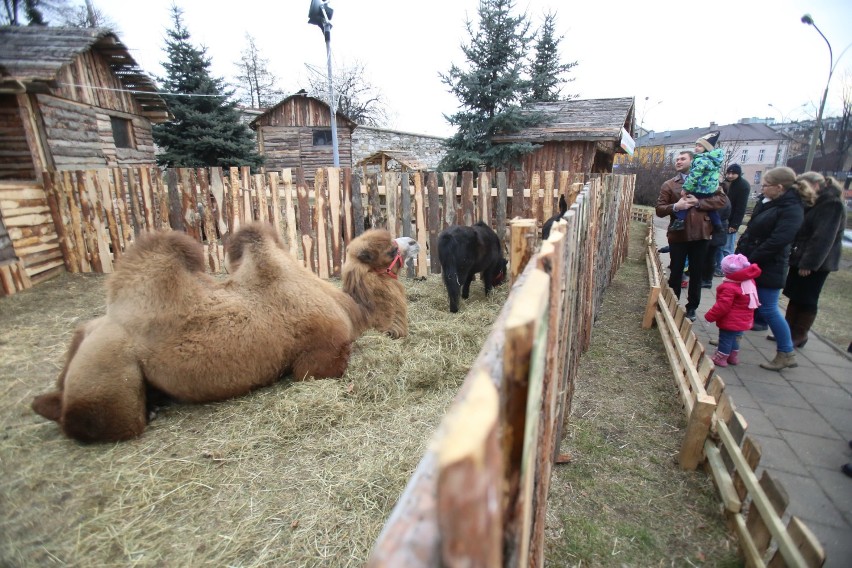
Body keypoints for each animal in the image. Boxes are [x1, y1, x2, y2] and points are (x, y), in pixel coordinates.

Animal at [30, 222, 410, 444]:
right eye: (390, 249)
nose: (411, 241)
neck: (353, 310)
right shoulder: (319, 356)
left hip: (87, 344)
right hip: (109, 374)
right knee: (92, 421)